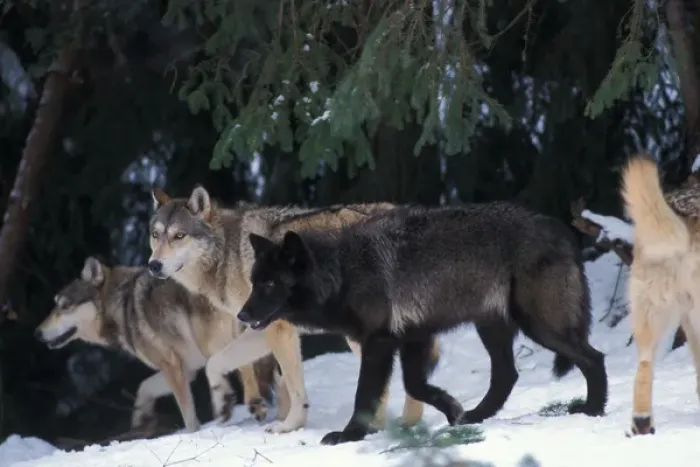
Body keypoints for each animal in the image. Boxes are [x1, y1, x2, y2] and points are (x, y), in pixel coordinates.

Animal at [35, 256, 288, 433]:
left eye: (64, 306)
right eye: (55, 305)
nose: (37, 333)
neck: (121, 306)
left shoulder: (171, 366)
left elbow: (188, 415)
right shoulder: (186, 369)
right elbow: (143, 388)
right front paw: (140, 420)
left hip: (214, 343)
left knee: (244, 369)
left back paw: (252, 405)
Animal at [147, 187, 439, 433]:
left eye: (179, 236)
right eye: (155, 235)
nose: (153, 265)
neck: (228, 253)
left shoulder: (277, 328)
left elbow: (292, 386)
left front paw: (288, 426)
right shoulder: (263, 329)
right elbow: (218, 363)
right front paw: (226, 401)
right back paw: (406, 423)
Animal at [238, 201, 610, 445]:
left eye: (269, 284)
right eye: (254, 282)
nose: (241, 315)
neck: (343, 271)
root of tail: (561, 230)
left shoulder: (378, 343)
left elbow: (366, 395)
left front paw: (349, 435)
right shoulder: (413, 337)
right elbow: (415, 386)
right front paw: (452, 409)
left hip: (539, 327)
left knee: (593, 358)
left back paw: (592, 410)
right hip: (492, 328)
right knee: (507, 375)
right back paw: (473, 417)